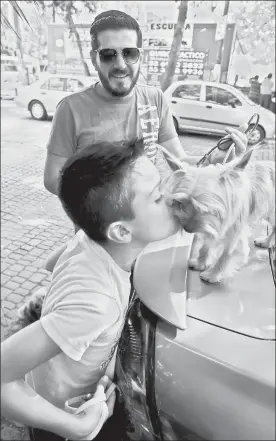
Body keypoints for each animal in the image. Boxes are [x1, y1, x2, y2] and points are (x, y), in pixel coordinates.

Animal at [165, 150, 274, 284]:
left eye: (206, 209)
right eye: (181, 203)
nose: (187, 229)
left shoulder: (233, 232)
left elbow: (225, 254)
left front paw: (213, 274)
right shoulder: (212, 227)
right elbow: (205, 245)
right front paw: (201, 263)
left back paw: (266, 241)